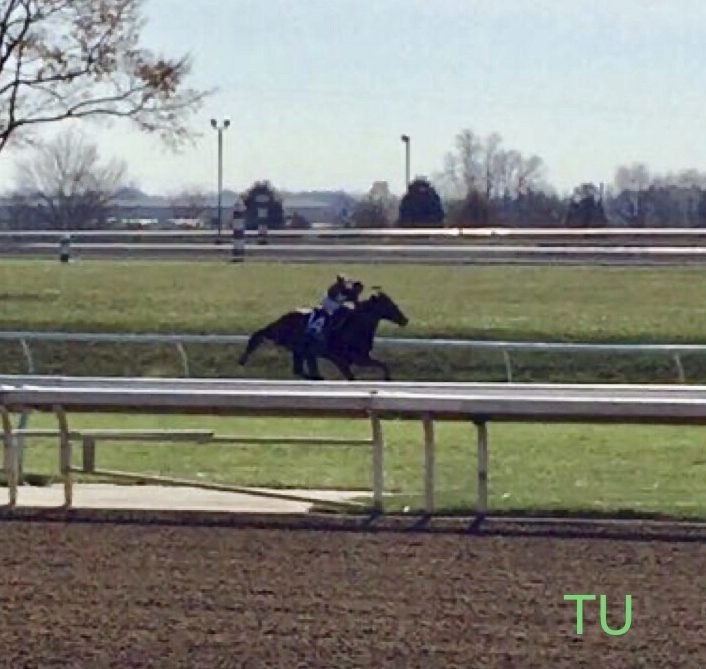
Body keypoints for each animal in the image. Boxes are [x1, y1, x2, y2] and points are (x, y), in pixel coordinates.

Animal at [239, 292, 410, 380]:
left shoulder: (357, 359)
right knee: (258, 335)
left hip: (302, 351)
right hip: (286, 339)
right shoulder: (348, 359)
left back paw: (317, 377)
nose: (404, 320)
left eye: (393, 303)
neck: (355, 326)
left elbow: (381, 365)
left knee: (299, 370)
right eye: (389, 305)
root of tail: (282, 318)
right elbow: (357, 374)